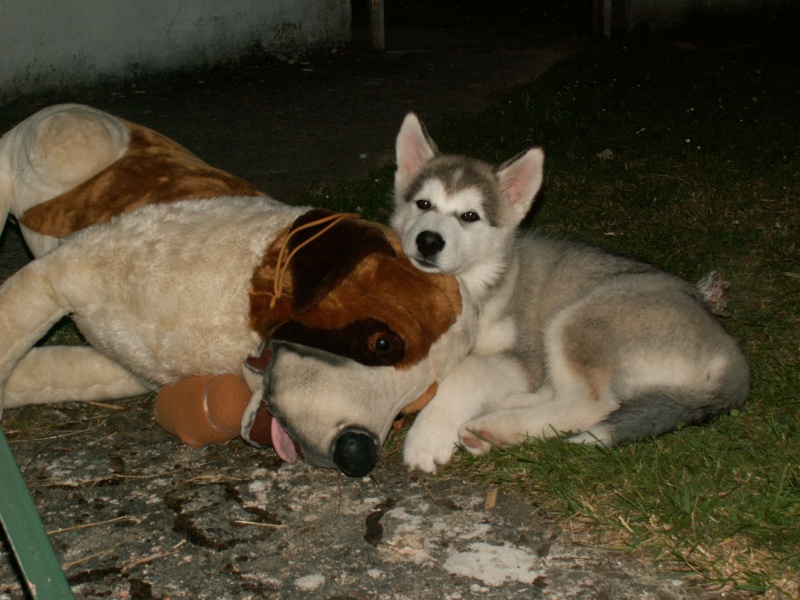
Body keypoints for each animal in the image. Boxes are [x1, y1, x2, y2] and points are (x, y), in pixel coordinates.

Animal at [390, 111, 748, 468]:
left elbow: (468, 369)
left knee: (593, 403)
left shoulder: (525, 357)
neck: (476, 283)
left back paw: (495, 427)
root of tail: (724, 341)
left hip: (579, 318)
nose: (428, 241)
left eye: (469, 216)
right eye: (423, 203)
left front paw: (428, 436)